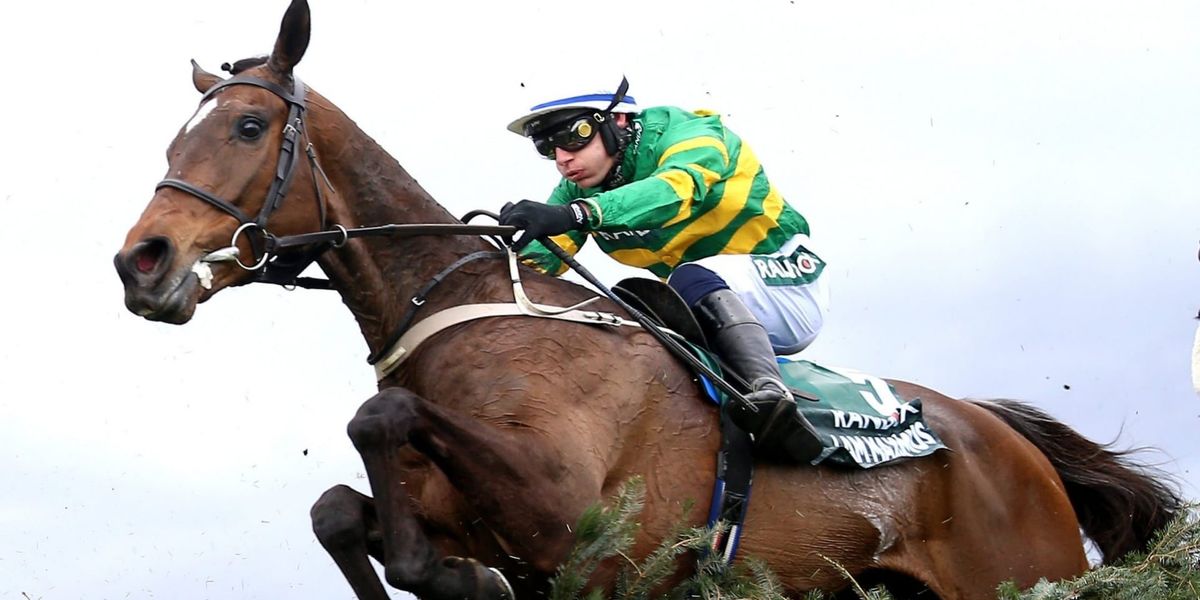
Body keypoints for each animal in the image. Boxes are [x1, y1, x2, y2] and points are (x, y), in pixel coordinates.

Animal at [114, 1, 1182, 598]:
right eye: (173, 137)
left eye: (248, 127)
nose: (140, 263)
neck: (468, 310)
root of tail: (1010, 442)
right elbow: (338, 509)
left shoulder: (569, 519)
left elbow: (381, 417)